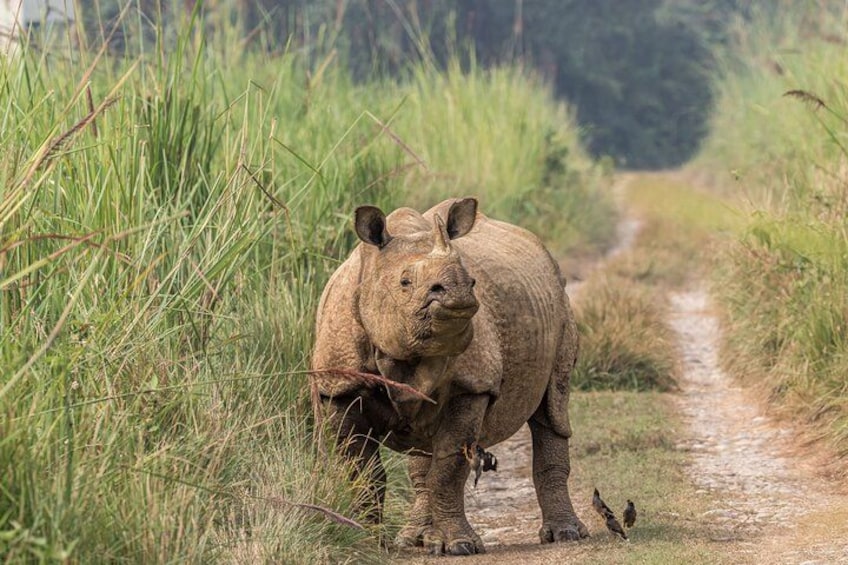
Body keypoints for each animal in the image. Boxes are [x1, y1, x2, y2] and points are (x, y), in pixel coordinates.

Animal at [311, 197, 587, 555]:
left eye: (470, 278)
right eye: (405, 282)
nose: (458, 291)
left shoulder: (471, 386)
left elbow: (448, 467)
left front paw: (460, 545)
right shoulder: (339, 386)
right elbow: (361, 470)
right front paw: (367, 543)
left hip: (561, 303)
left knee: (553, 409)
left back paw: (565, 534)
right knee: (422, 449)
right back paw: (414, 539)